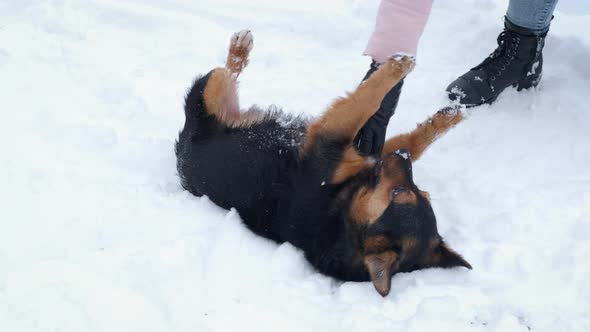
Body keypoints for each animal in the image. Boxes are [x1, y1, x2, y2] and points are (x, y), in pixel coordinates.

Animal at [176, 30, 472, 296]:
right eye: (420, 192)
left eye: (404, 192)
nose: (402, 157)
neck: (341, 210)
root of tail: (181, 152)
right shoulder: (364, 149)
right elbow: (398, 124)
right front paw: (445, 115)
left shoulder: (337, 141)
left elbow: (371, 99)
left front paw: (399, 67)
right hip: (215, 94)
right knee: (229, 72)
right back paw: (241, 46)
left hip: (209, 94)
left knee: (227, 72)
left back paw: (239, 48)